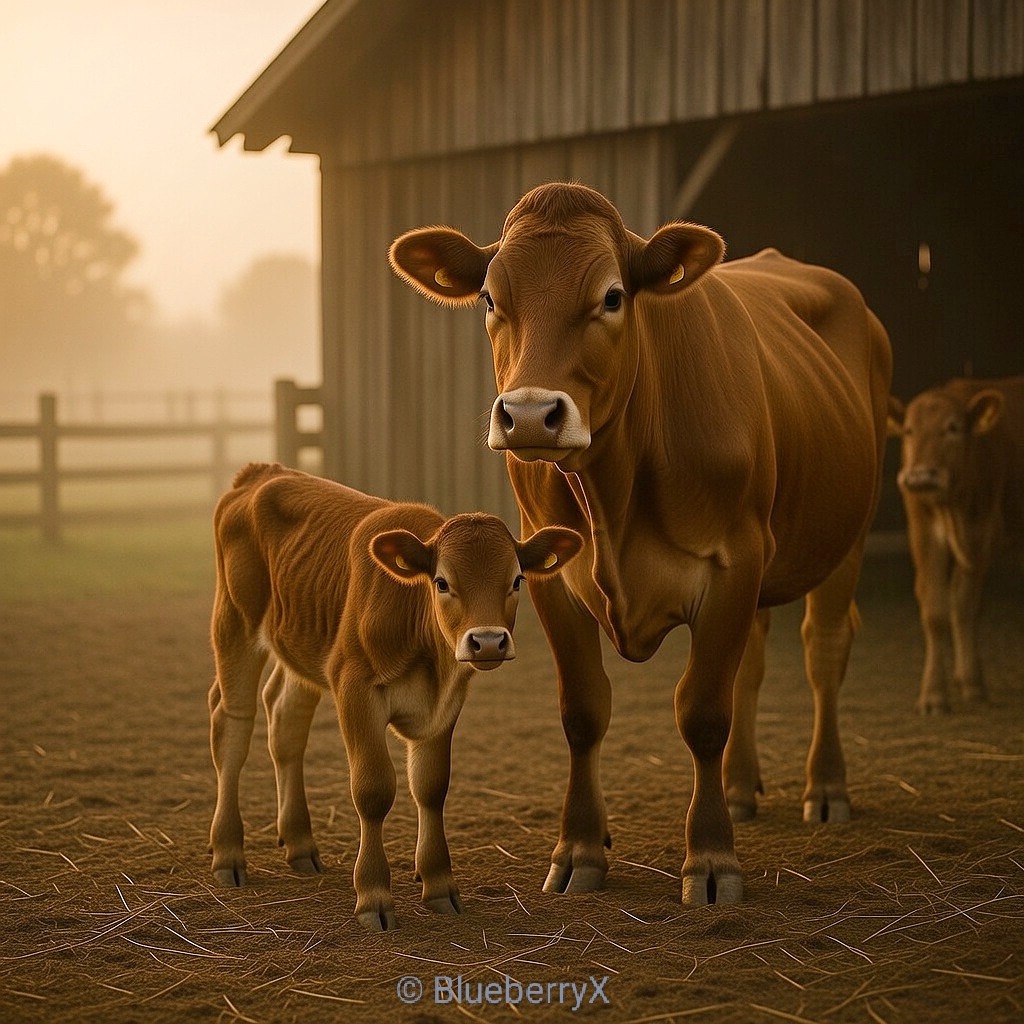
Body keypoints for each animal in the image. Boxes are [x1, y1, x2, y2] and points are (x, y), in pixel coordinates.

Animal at [207, 462, 581, 930]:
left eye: (517, 580)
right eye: (441, 582)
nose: (487, 642)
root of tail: (262, 473)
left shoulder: (446, 703)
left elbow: (431, 786)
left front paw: (439, 885)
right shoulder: (354, 687)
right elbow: (374, 790)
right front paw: (374, 895)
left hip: (302, 645)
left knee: (285, 720)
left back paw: (300, 844)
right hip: (235, 621)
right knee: (232, 726)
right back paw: (227, 853)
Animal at [389, 182, 892, 907]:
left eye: (612, 296)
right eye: (488, 297)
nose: (531, 415)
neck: (615, 489)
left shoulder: (733, 562)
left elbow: (703, 711)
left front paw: (710, 858)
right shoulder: (550, 574)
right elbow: (583, 711)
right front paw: (579, 848)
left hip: (846, 532)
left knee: (823, 650)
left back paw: (825, 787)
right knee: (753, 661)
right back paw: (739, 789)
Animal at [892, 377, 1024, 714]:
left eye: (952, 428)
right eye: (909, 431)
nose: (920, 475)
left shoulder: (980, 533)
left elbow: (963, 605)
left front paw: (973, 684)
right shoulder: (922, 533)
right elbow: (935, 610)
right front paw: (934, 693)